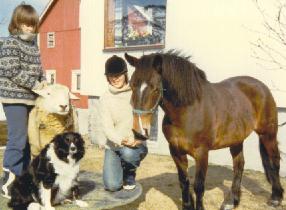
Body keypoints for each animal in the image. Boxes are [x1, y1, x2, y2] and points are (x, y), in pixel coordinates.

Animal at [125, 50, 284, 210]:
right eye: (131, 85)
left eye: (155, 87)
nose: (139, 131)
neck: (188, 110)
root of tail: (262, 86)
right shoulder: (176, 151)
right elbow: (184, 182)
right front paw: (187, 206)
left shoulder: (202, 153)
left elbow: (199, 185)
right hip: (236, 139)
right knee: (239, 165)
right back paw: (231, 202)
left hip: (268, 134)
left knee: (275, 160)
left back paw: (276, 198)